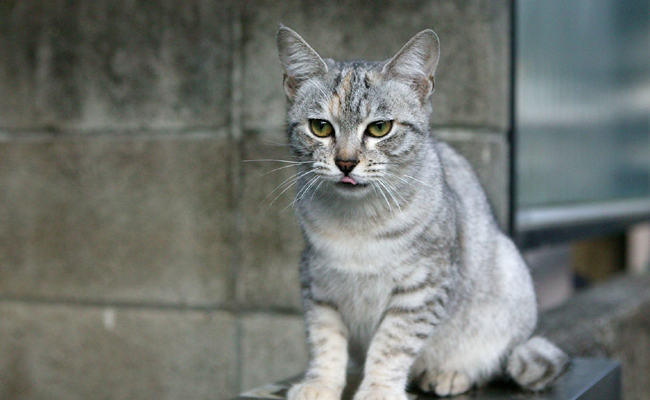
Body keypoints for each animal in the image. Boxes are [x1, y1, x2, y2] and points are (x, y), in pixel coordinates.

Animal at [274, 25, 568, 400]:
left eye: (379, 128)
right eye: (321, 127)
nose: (346, 162)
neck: (357, 223)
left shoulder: (422, 288)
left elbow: (392, 345)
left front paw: (378, 390)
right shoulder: (318, 283)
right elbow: (325, 340)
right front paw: (320, 384)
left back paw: (449, 374)